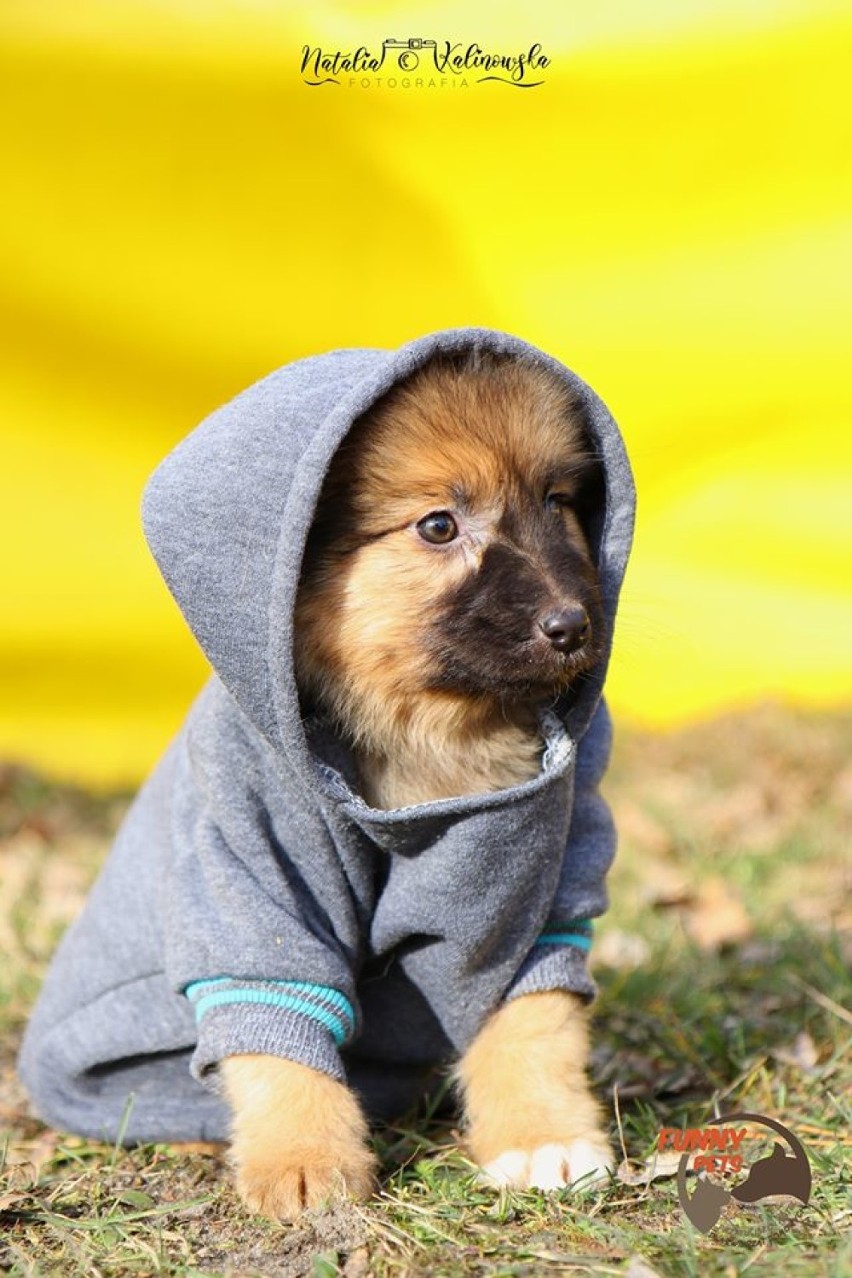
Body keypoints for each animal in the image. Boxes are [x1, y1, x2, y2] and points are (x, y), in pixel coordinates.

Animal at [223, 352, 615, 1216]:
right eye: (439, 526)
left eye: (555, 502)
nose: (572, 626)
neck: (434, 731)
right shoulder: (257, 882)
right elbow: (279, 1048)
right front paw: (302, 1159)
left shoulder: (535, 906)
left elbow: (532, 1025)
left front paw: (542, 1136)